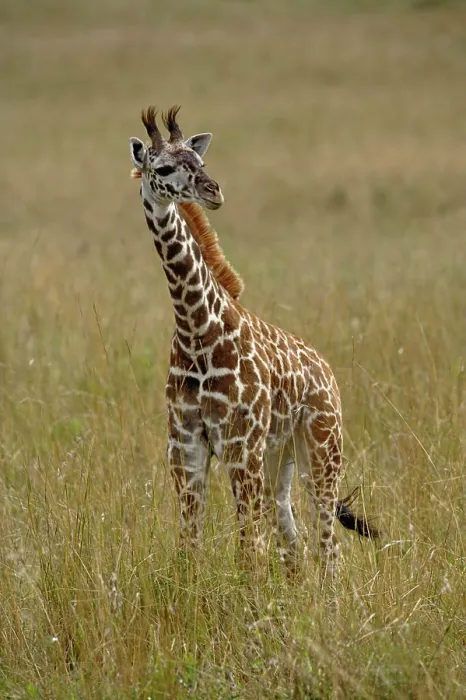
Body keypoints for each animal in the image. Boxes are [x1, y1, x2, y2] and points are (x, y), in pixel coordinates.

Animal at [129, 105, 378, 577]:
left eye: (200, 160)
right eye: (164, 168)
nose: (213, 191)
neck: (197, 331)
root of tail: (327, 372)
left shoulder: (239, 445)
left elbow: (249, 550)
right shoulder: (185, 446)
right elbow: (190, 546)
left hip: (322, 451)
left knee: (327, 544)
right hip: (279, 458)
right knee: (293, 539)